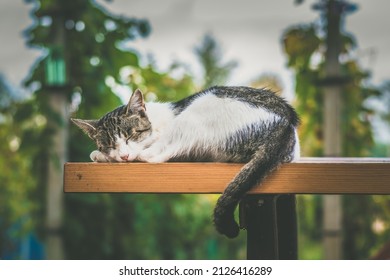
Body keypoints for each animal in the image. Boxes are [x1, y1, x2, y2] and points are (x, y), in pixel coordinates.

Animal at [71, 86, 300, 238]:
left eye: (131, 135)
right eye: (109, 144)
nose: (123, 156)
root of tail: (285, 124)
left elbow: (147, 149)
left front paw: (101, 155)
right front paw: (105, 154)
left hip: (199, 109)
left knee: (155, 156)